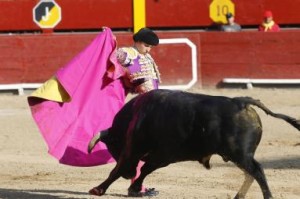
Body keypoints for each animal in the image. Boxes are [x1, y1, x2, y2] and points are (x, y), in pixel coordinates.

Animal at [86, 89, 300, 198]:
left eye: (113, 147)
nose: (129, 175)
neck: (136, 115)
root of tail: (241, 101)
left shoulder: (134, 149)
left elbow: (118, 169)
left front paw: (98, 189)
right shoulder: (163, 155)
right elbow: (146, 169)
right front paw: (135, 188)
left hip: (239, 153)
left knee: (257, 171)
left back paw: (267, 197)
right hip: (238, 155)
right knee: (251, 173)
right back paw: (238, 196)